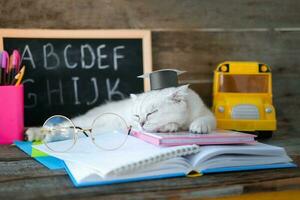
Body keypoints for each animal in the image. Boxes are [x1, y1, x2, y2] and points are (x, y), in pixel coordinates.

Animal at [24, 84, 214, 141]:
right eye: (137, 116)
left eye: (151, 113)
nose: (141, 123)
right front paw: (170, 127)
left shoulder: (205, 111)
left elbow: (207, 119)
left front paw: (198, 126)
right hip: (87, 122)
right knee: (62, 126)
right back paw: (35, 134)